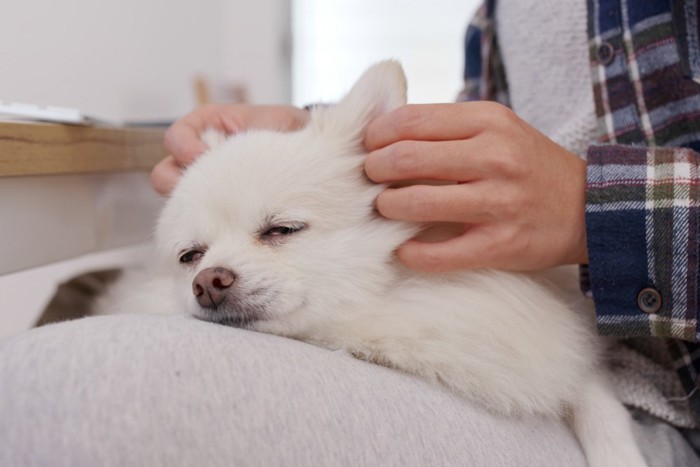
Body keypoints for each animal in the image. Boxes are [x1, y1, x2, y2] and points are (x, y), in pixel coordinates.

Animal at [106, 61, 648, 464]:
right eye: (190, 256)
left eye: (282, 230)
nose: (207, 282)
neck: (382, 314)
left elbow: (597, 401)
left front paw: (619, 454)